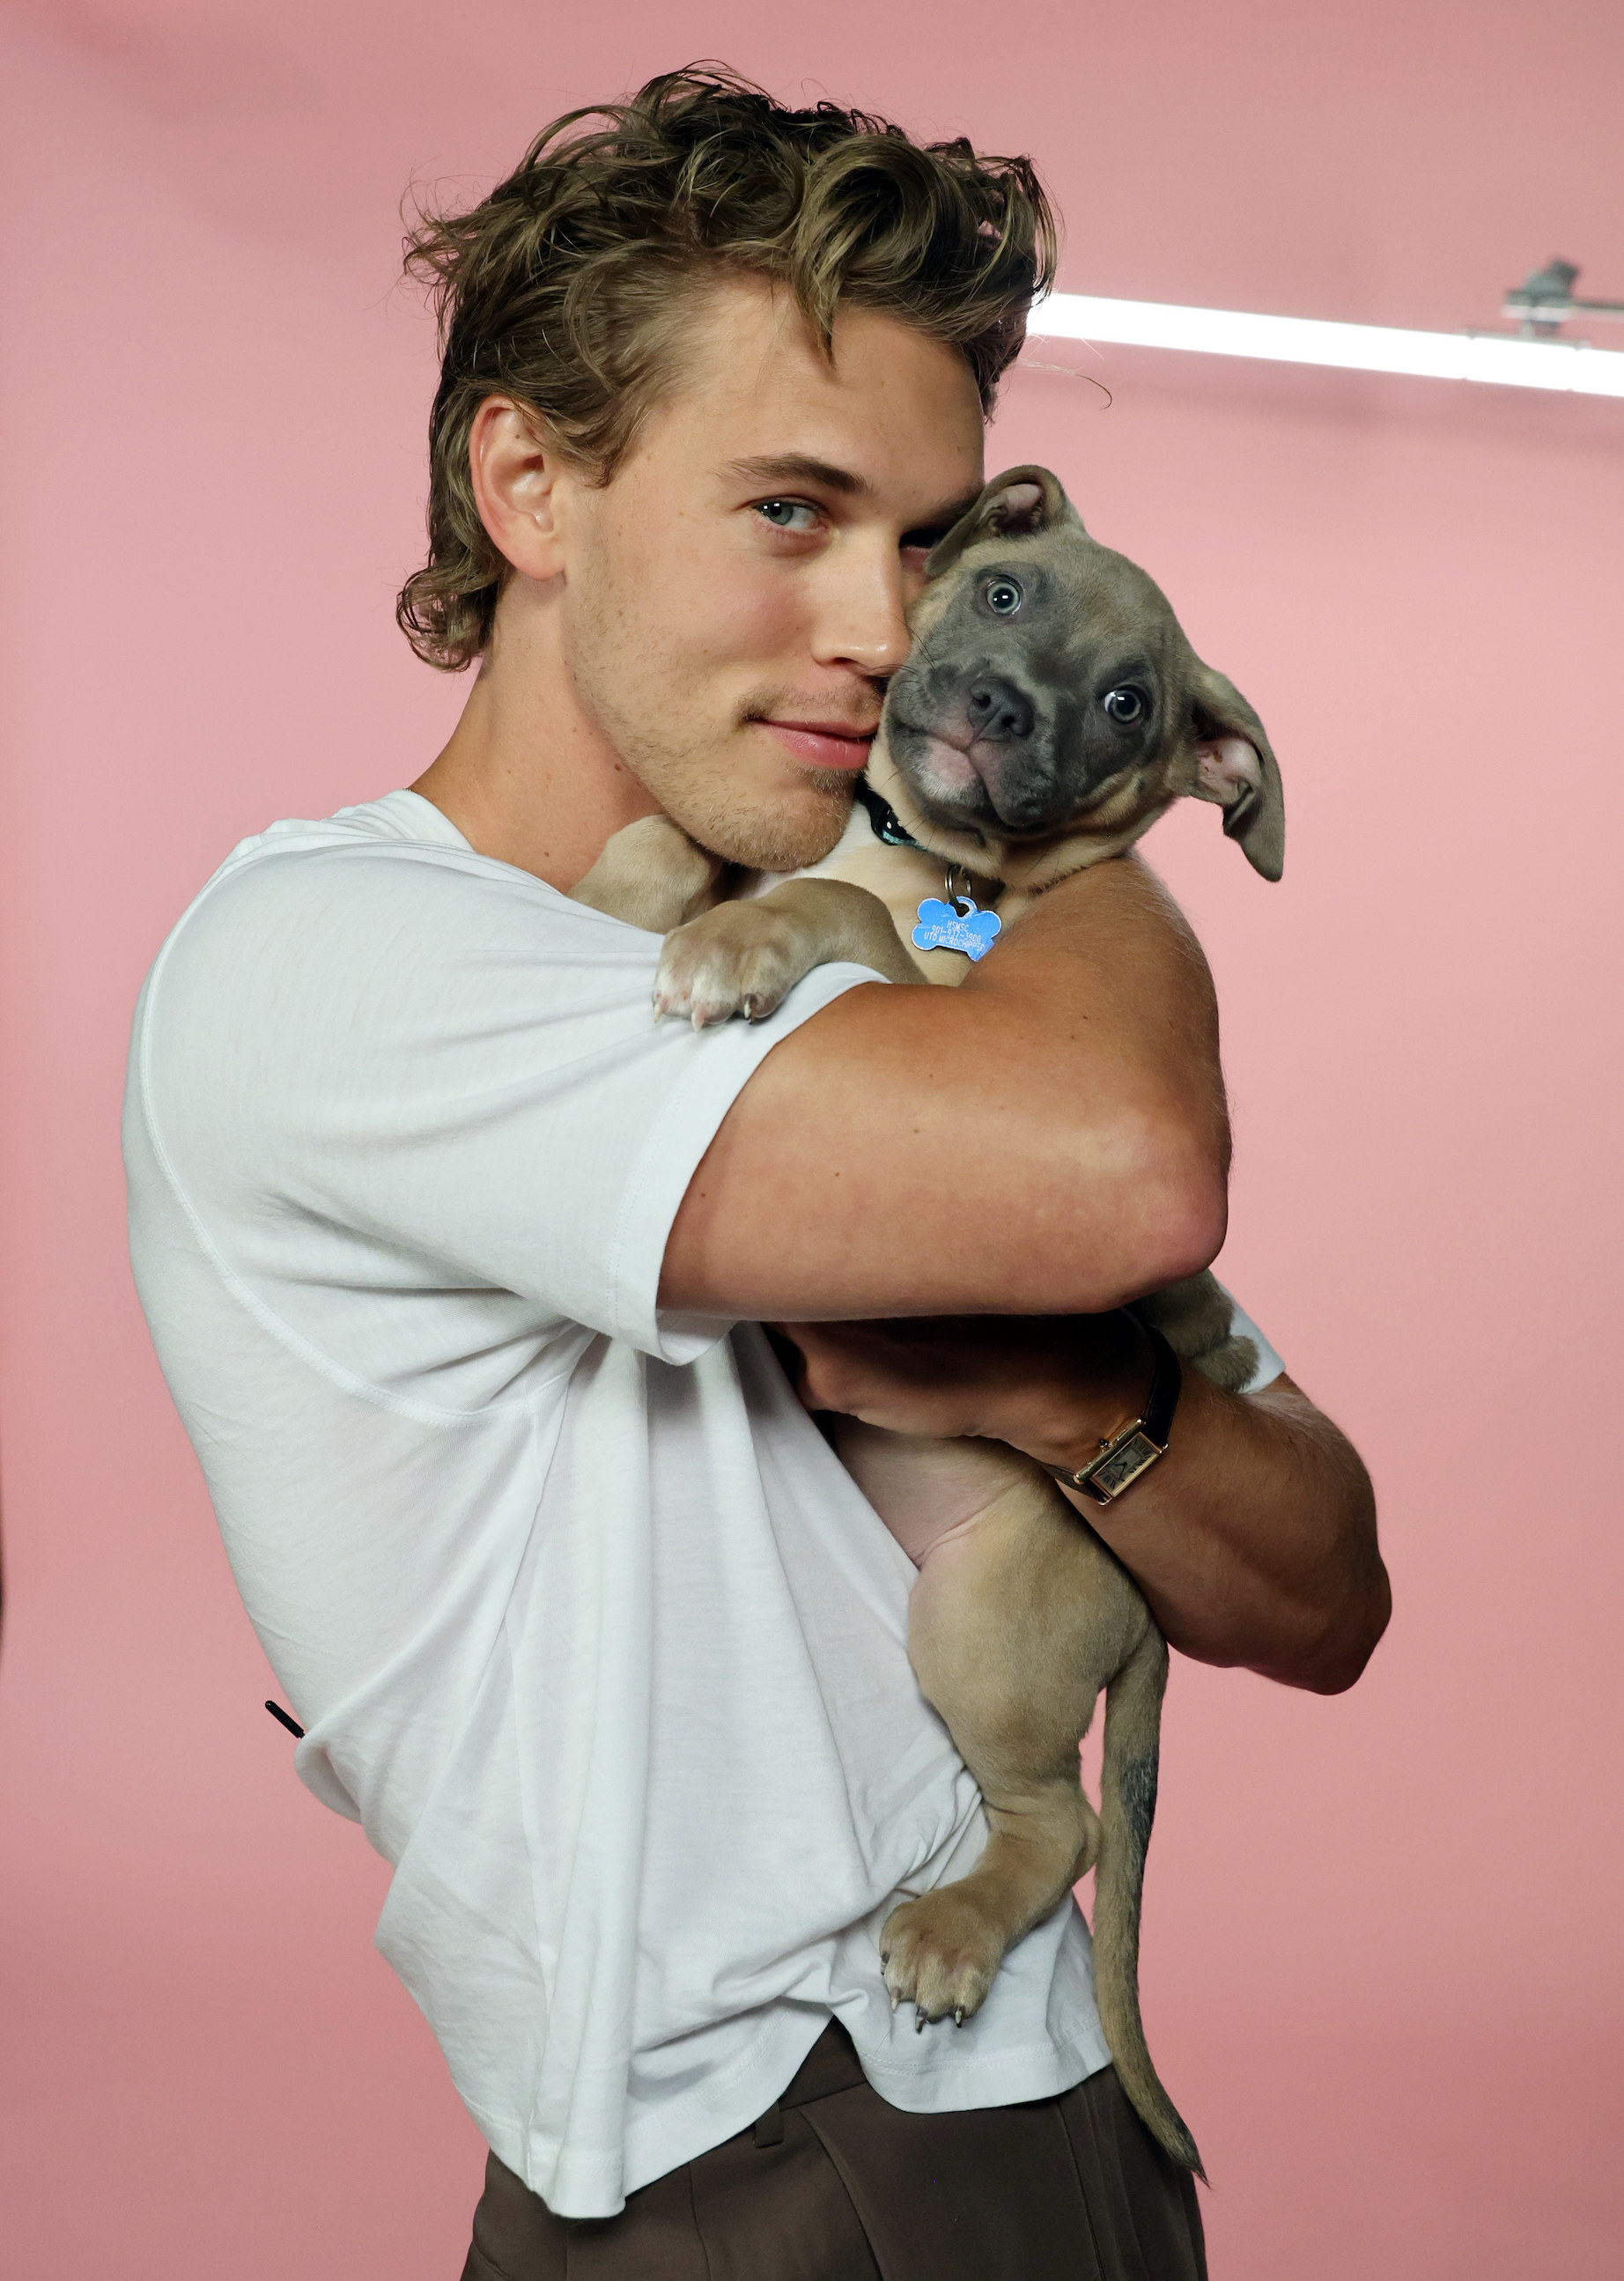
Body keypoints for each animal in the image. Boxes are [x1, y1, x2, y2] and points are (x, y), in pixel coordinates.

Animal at [570, 467, 1277, 2171]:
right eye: (1005, 591)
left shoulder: (935, 1030)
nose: (997, 707)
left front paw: (730, 944)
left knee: (1063, 1817)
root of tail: (1149, 1623)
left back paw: (953, 1934)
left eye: (1126, 701)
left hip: (984, 1619)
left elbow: (819, 900)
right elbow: (676, 831)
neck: (923, 856)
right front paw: (618, 887)